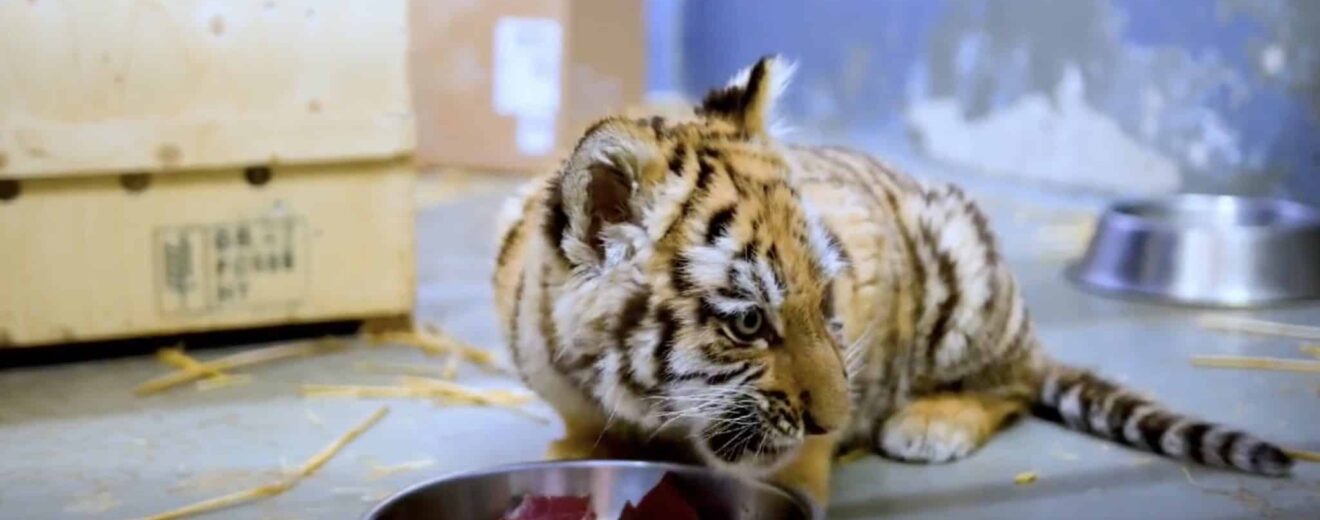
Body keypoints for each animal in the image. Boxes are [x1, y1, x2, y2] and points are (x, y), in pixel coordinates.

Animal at [491, 55, 1294, 503]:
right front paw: (569, 456)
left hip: (963, 274)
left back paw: (931, 424)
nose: (834, 422)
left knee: (1011, 386)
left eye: (827, 299)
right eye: (748, 322)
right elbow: (580, 429)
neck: (638, 401)